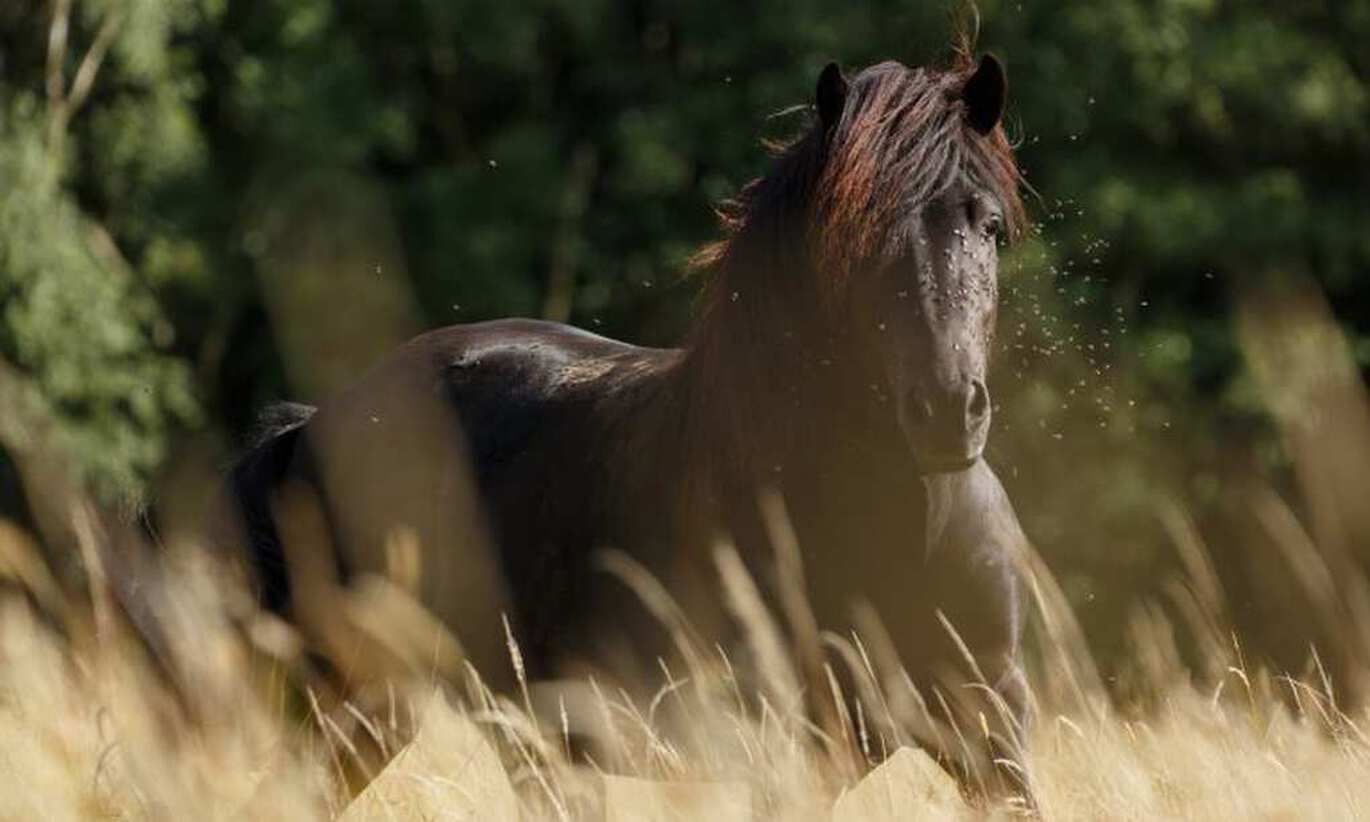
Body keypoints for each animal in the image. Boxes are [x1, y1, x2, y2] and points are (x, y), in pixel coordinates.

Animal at [225, 50, 1033, 802]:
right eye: (855, 234)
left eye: (989, 226)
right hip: (355, 703)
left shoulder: (989, 729)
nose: (947, 411)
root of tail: (316, 424)